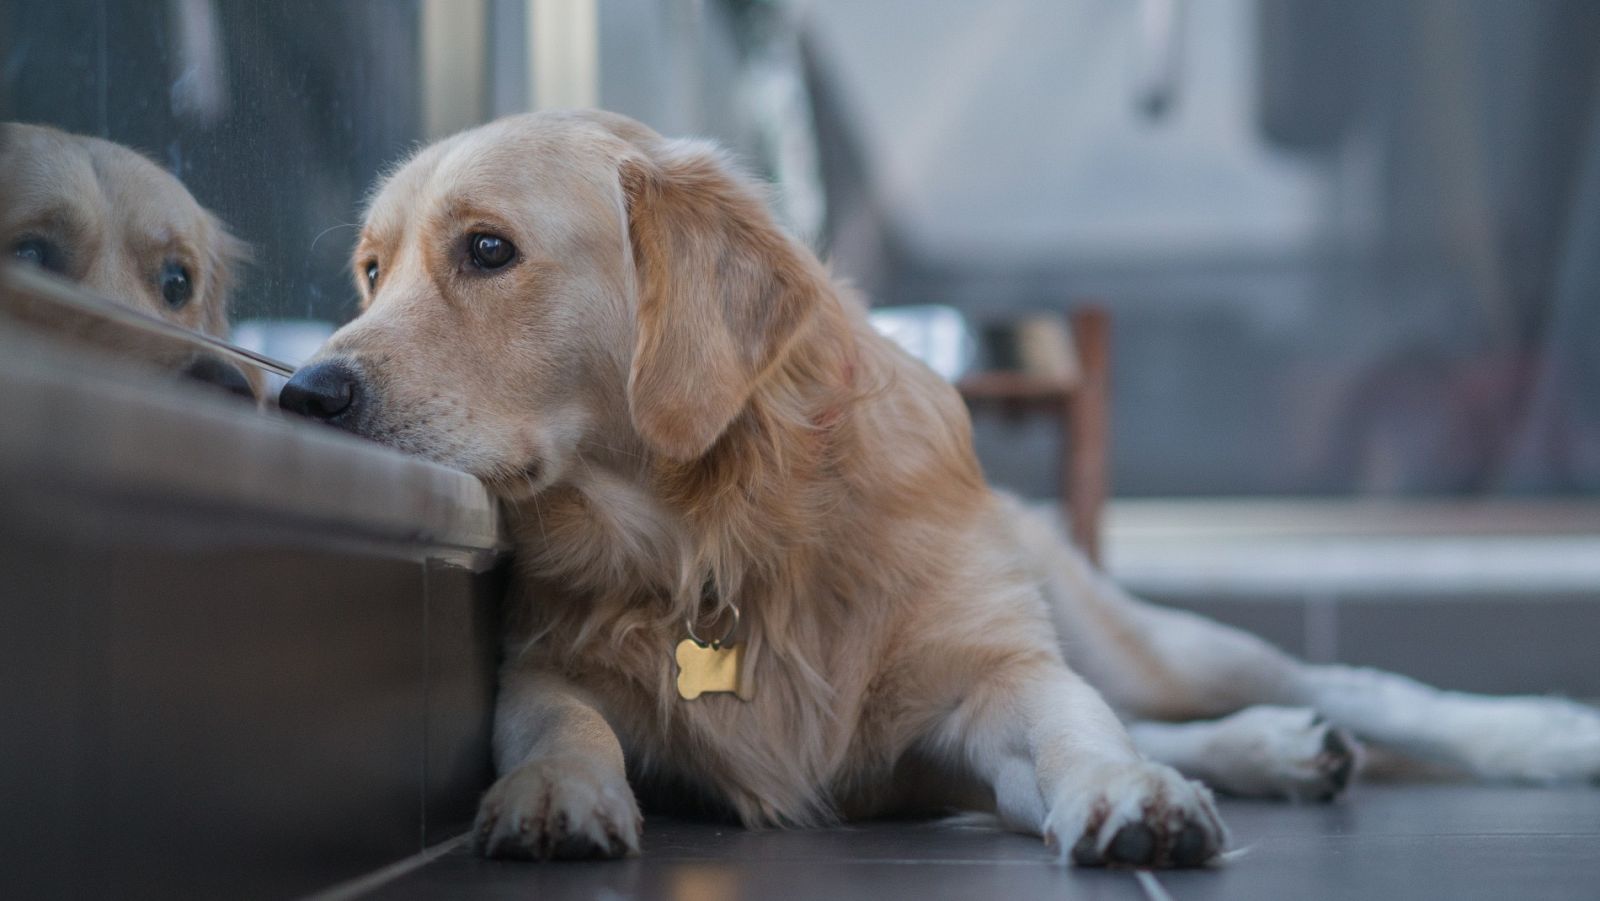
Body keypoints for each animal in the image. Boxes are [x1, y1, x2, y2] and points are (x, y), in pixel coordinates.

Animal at [281, 109, 1600, 870]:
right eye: (370, 269)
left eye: (487, 250)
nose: (303, 392)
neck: (717, 533)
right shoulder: (545, 661)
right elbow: (562, 721)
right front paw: (553, 793)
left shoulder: (988, 678)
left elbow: (1072, 726)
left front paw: (1127, 793)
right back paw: (1275, 750)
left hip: (1134, 635)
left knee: (1332, 683)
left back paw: (1530, 733)